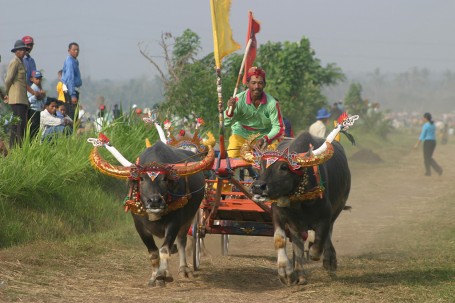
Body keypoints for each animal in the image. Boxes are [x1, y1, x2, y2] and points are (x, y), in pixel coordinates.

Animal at [88, 134, 215, 286]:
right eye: (141, 179)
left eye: (165, 178)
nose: (155, 201)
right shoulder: (140, 226)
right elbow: (153, 253)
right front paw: (155, 277)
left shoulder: (174, 222)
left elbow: (165, 249)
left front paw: (163, 274)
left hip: (189, 218)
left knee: (182, 241)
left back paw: (184, 269)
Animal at [244, 117, 358, 286]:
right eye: (261, 166)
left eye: (284, 167)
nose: (258, 187)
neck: (298, 201)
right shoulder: (278, 214)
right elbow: (280, 240)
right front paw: (286, 273)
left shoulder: (325, 216)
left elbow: (318, 244)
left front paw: (318, 255)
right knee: (298, 243)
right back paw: (300, 274)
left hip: (336, 210)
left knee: (327, 235)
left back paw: (329, 260)